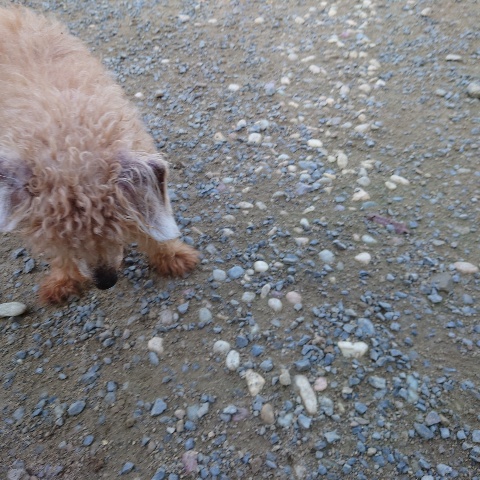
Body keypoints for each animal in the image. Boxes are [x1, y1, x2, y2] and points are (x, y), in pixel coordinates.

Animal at [0, 6, 199, 304]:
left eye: (117, 224)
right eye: (61, 237)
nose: (106, 282)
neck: (67, 128)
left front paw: (172, 255)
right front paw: (63, 280)